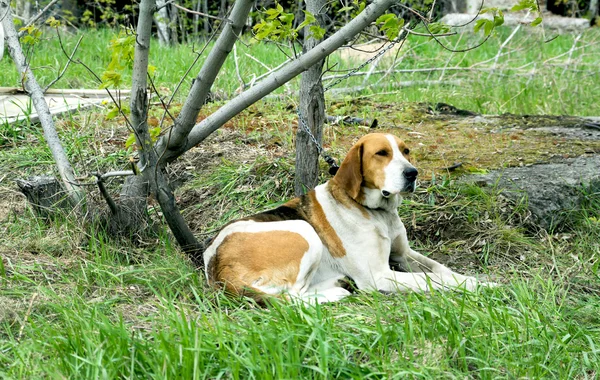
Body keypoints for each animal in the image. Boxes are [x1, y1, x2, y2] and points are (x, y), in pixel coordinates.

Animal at [204, 132, 486, 302]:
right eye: (381, 153)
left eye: (406, 151)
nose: (412, 173)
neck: (377, 213)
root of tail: (217, 265)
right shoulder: (379, 275)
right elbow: (431, 279)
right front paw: (481, 287)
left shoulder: (402, 254)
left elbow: (441, 269)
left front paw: (472, 279)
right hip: (303, 230)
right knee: (292, 296)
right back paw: (336, 292)